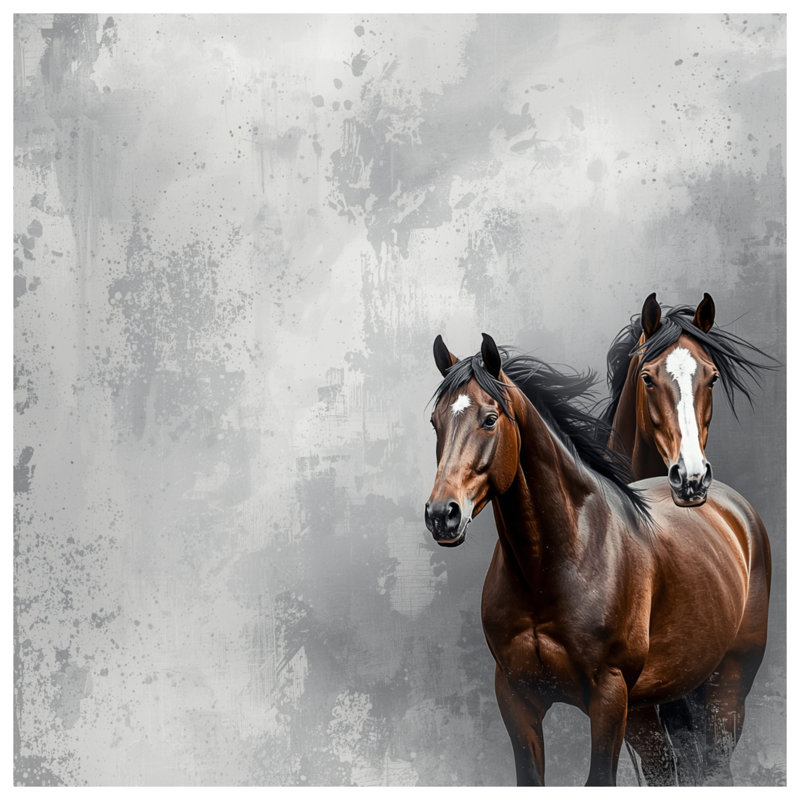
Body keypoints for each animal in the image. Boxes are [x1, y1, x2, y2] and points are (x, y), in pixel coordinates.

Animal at [424, 333, 771, 786]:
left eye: (489, 419)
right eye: (436, 422)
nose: (441, 515)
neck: (550, 567)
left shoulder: (608, 698)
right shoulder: (516, 696)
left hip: (727, 688)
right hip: (653, 703)